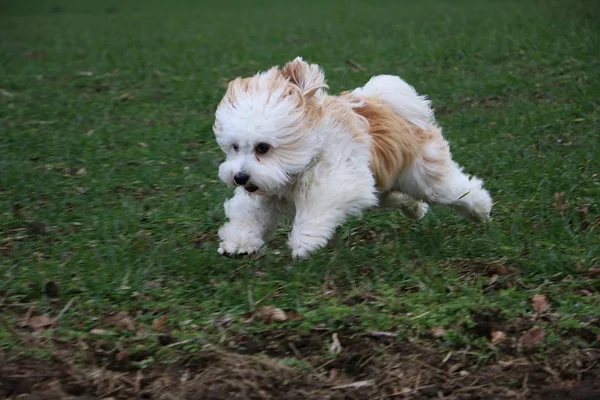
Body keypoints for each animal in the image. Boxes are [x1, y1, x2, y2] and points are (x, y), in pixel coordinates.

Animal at [211, 57, 492, 260]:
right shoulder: (265, 192)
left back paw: (481, 210)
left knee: (458, 190)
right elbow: (249, 212)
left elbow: (317, 206)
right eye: (235, 147)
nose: (239, 177)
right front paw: (239, 241)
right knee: (399, 196)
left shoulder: (339, 179)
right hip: (385, 184)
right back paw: (415, 208)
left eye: (263, 148)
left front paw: (305, 241)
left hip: (424, 176)